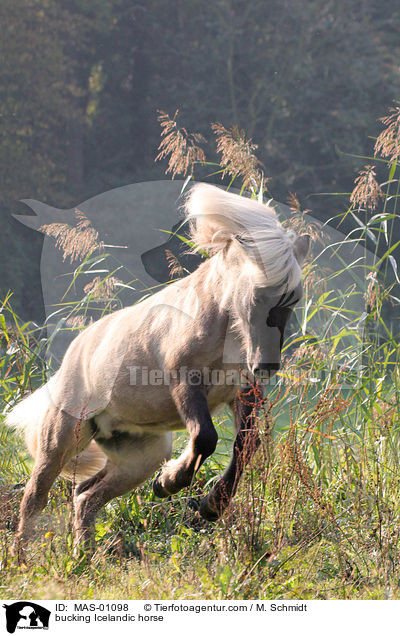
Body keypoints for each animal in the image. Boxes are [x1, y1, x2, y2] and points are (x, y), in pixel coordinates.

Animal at [6, 183, 310, 552]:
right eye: (256, 296)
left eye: (293, 299)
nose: (266, 364)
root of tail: (72, 356)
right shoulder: (184, 382)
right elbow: (205, 438)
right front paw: (171, 481)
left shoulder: (243, 392)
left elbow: (246, 446)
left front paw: (210, 505)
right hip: (63, 439)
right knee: (35, 498)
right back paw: (23, 557)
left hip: (139, 455)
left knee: (85, 495)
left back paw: (85, 555)